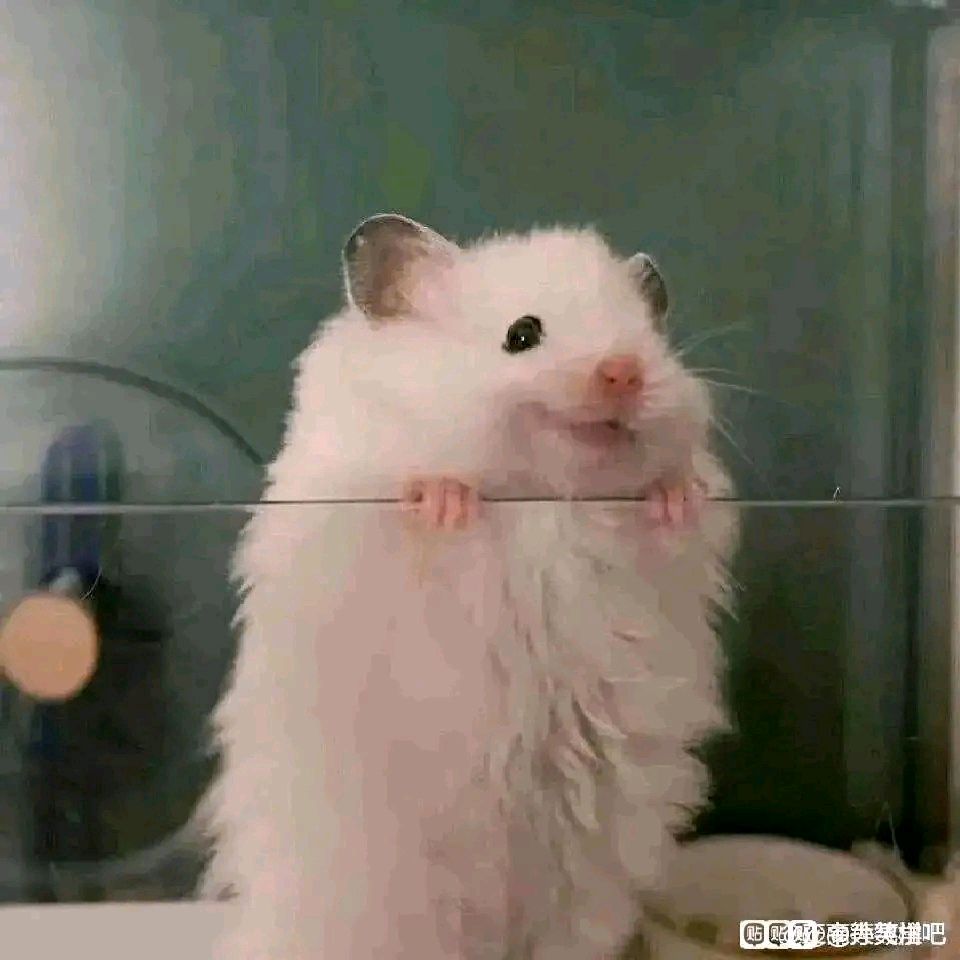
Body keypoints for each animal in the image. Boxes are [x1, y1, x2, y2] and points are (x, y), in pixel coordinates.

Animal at [202, 214, 738, 960]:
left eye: (647, 337)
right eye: (522, 334)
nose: (625, 371)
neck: (543, 496)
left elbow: (680, 511)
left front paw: (674, 495)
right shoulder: (359, 509)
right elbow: (420, 516)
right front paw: (444, 498)